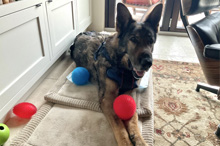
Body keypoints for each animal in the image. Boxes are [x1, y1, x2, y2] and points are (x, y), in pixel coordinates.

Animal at [71, 2, 162, 146]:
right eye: (133, 39)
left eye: (151, 40)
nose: (148, 63)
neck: (123, 68)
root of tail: (82, 32)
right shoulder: (107, 100)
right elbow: (118, 123)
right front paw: (126, 142)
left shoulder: (128, 94)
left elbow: (133, 117)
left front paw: (139, 139)